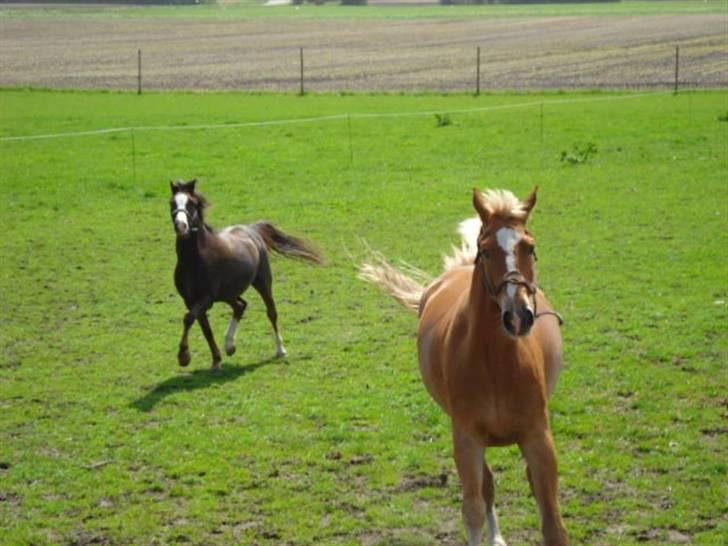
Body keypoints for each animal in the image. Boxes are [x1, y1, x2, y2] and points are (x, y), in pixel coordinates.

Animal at [169, 179, 323, 371]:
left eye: (191, 203)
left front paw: (183, 356)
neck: (194, 259)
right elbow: (205, 330)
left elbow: (188, 318)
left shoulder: (206, 298)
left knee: (271, 312)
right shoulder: (191, 300)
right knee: (240, 306)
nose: (181, 226)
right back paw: (230, 346)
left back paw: (280, 350)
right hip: (228, 293)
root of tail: (251, 229)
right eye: (172, 203)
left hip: (262, 282)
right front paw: (215, 361)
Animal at [360, 187, 568, 546]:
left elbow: (552, 522)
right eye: (485, 251)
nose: (517, 317)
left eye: (530, 247)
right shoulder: (467, 438)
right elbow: (473, 508)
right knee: (487, 488)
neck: (497, 363)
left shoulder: (538, 438)